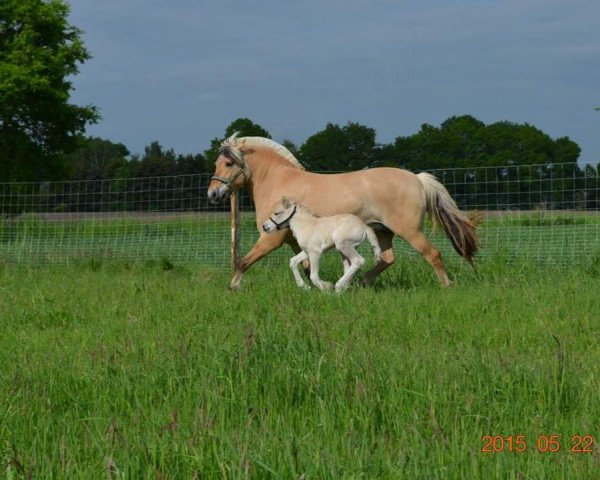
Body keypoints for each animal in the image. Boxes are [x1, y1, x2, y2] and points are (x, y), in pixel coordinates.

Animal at [209, 132, 476, 288]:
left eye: (229, 163)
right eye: (216, 163)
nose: (213, 194)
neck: (279, 183)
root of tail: (418, 179)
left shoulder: (270, 238)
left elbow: (243, 262)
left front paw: (233, 287)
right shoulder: (296, 242)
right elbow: (305, 267)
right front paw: (317, 287)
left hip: (409, 231)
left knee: (432, 254)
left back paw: (446, 286)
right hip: (383, 231)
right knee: (387, 258)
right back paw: (359, 283)